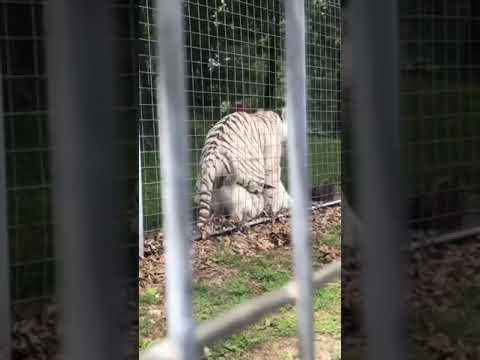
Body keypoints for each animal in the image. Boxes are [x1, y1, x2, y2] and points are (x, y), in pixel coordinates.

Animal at [194, 109, 288, 239]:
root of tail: (211, 157)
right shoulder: (271, 160)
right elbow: (272, 188)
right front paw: (273, 212)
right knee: (239, 215)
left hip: (207, 191)